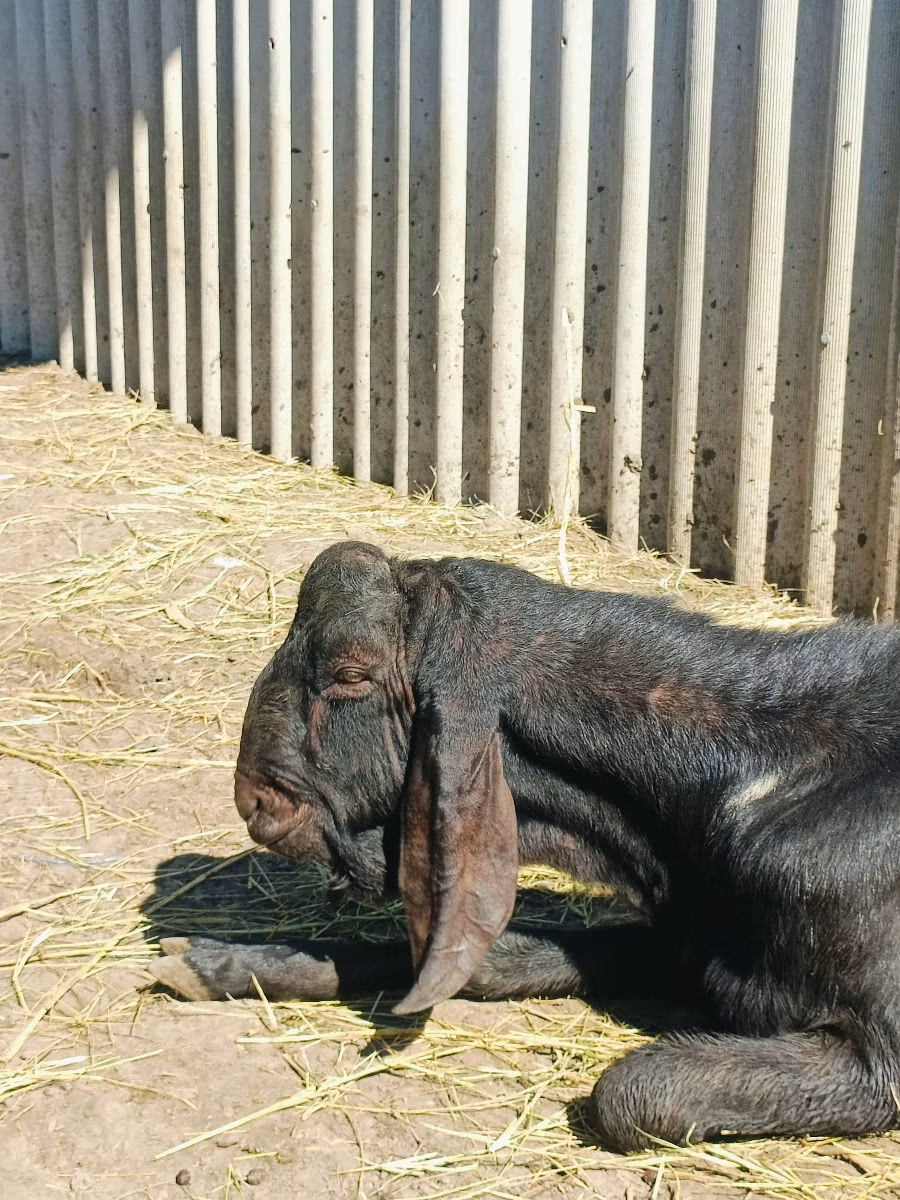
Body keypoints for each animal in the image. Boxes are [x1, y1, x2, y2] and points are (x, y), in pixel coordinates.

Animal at [153, 540, 900, 1151]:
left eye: (350, 676)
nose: (255, 799)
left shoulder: (879, 1061)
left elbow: (629, 1094)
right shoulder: (683, 935)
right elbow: (481, 963)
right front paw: (213, 962)